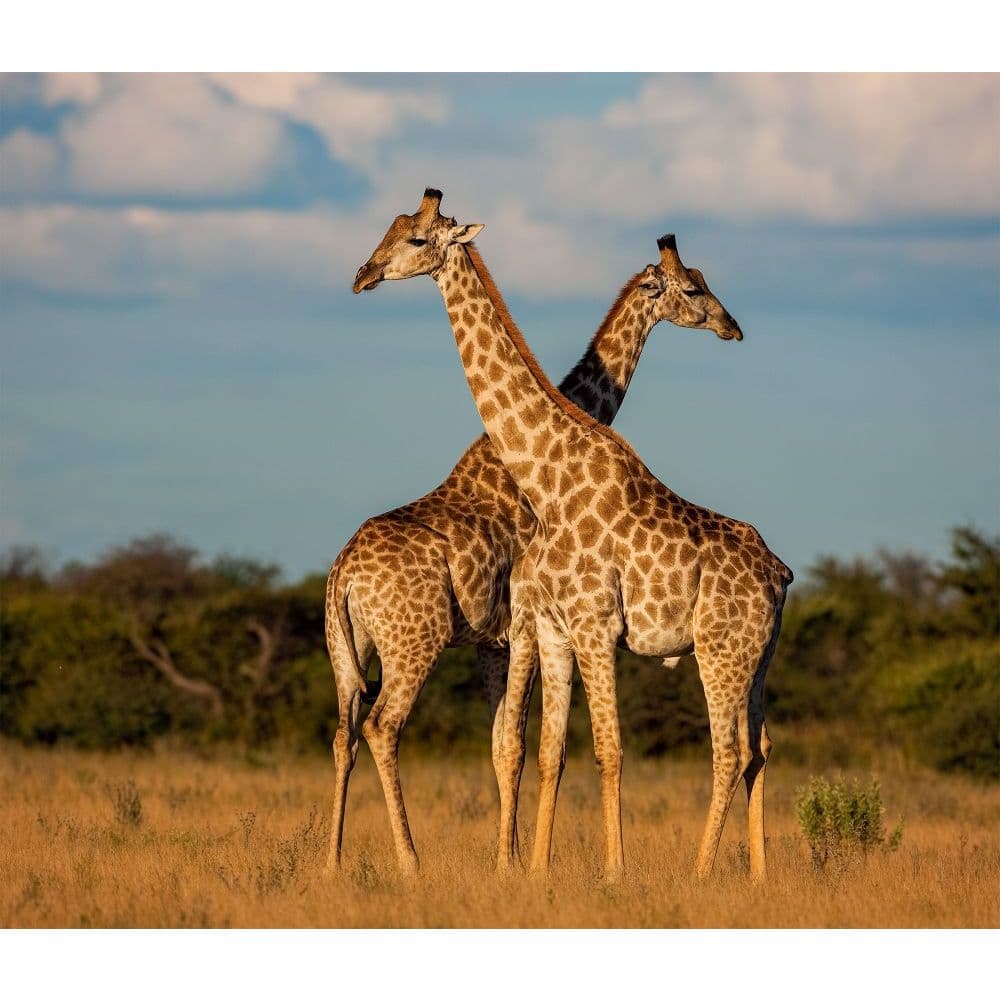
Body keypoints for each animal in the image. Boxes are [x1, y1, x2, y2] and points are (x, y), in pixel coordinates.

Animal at [352, 189, 792, 882]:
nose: (363, 274)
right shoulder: (550, 628)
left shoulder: (582, 627)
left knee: (734, 751)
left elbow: (590, 748)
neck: (547, 477)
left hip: (727, 652)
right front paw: (533, 869)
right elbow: (547, 749)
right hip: (750, 656)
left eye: (417, 239)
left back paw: (712, 874)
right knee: (757, 747)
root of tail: (781, 574)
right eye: (694, 287)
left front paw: (602, 870)